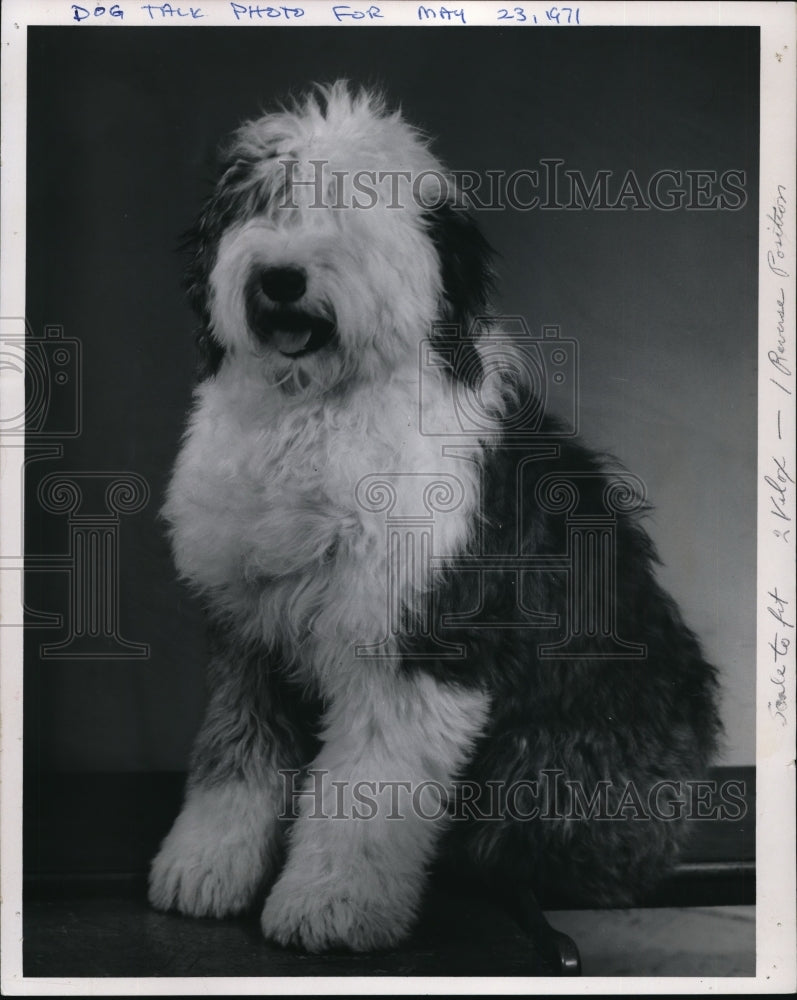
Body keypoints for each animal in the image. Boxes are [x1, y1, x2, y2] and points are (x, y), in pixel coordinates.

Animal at [149, 82, 720, 948]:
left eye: (353, 206)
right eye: (262, 201)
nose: (279, 278)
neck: (316, 411)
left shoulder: (417, 633)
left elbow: (367, 784)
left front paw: (333, 904)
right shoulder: (250, 629)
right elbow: (234, 755)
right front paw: (205, 868)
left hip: (554, 767)